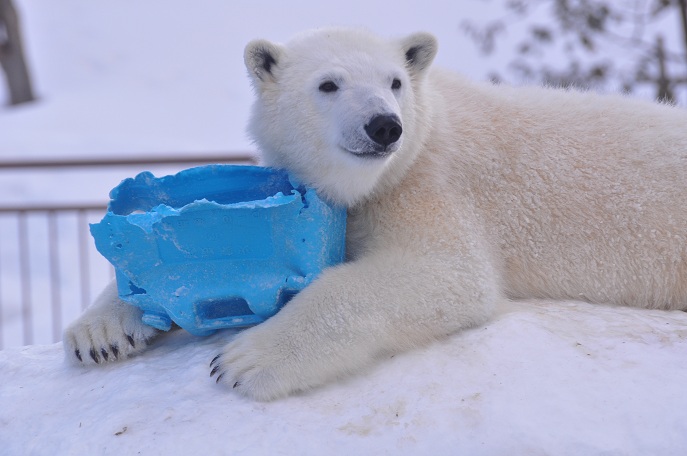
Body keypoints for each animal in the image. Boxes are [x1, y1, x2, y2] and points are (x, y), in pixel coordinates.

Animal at [61, 27, 684, 400]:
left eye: (395, 81)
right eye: (328, 84)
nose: (384, 125)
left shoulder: (427, 186)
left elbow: (446, 275)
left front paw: (243, 359)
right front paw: (101, 332)